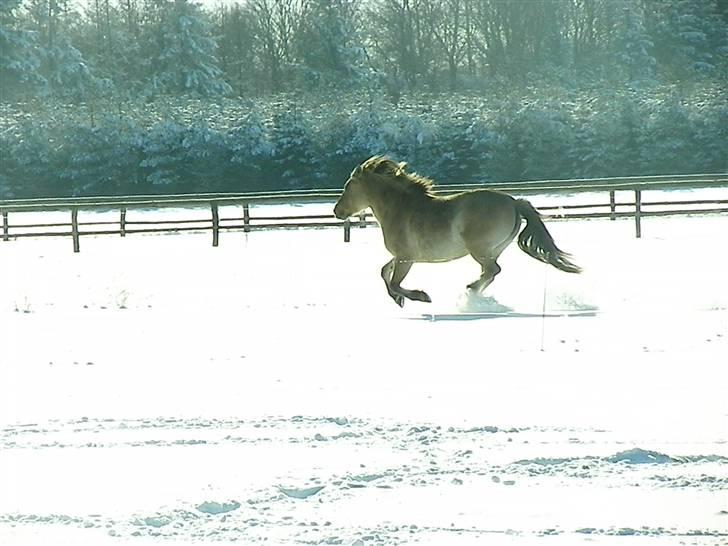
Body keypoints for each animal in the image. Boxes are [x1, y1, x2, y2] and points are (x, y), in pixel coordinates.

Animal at [333, 156, 582, 307]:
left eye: (348, 186)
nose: (336, 211)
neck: (400, 208)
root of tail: (513, 202)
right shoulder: (400, 257)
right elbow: (384, 272)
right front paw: (398, 300)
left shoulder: (406, 257)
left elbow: (394, 281)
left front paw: (421, 297)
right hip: (494, 250)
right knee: (491, 272)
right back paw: (473, 293)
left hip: (479, 249)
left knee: (492, 270)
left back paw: (470, 291)